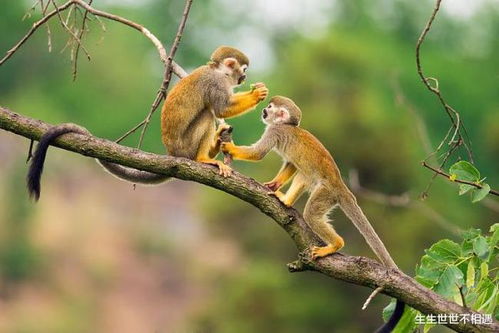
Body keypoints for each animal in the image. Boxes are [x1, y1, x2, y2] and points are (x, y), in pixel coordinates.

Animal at [26, 46, 270, 200]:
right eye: (243, 70)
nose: (244, 78)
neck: (219, 71)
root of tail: (173, 154)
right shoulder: (216, 83)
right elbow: (221, 108)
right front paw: (257, 94)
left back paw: (217, 143)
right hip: (186, 146)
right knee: (207, 114)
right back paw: (203, 158)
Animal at [222, 94, 406, 330]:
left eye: (270, 107)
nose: (264, 111)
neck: (286, 126)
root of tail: (341, 186)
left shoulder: (274, 131)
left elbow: (259, 154)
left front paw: (230, 147)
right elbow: (291, 164)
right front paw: (274, 184)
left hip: (326, 192)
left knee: (310, 206)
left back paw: (335, 244)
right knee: (302, 171)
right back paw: (286, 200)